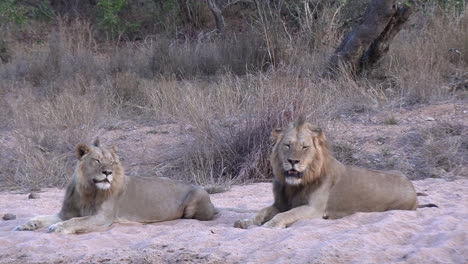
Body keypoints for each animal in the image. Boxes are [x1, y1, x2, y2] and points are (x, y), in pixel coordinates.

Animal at [14, 138, 218, 233]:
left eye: (112, 162)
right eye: (97, 160)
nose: (107, 172)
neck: (87, 190)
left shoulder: (102, 217)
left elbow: (77, 221)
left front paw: (59, 228)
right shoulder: (65, 213)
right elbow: (41, 217)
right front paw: (27, 225)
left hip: (196, 200)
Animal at [234, 116, 436, 229]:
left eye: (305, 147)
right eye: (287, 145)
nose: (293, 161)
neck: (295, 185)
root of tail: (411, 186)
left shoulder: (314, 209)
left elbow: (285, 215)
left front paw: (271, 225)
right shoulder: (281, 203)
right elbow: (262, 211)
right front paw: (244, 222)